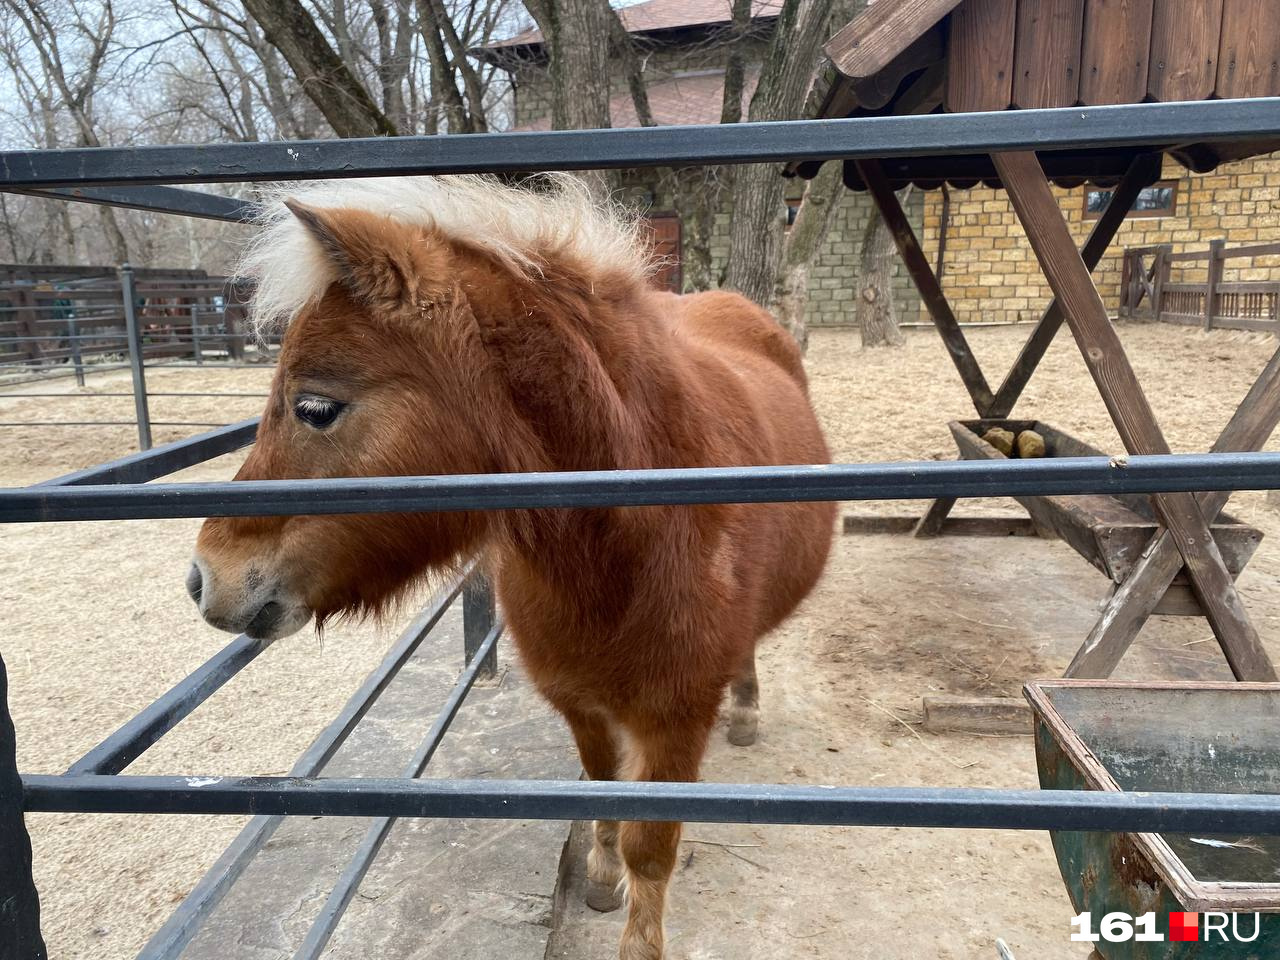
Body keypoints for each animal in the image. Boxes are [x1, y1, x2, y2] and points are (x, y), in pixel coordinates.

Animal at [186, 175, 829, 960]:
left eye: (314, 407)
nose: (203, 577)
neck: (632, 550)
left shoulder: (674, 720)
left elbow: (652, 849)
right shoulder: (579, 701)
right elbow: (600, 788)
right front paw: (600, 878)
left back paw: (745, 709)